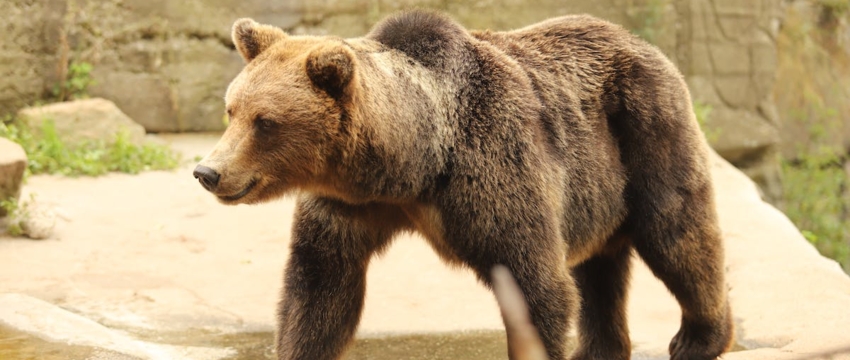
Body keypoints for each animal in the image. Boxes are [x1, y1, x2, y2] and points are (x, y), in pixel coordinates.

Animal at [192, 9, 728, 358]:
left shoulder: (497, 174)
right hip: (593, 190)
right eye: (232, 110)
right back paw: (600, 350)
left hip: (645, 131)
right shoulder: (347, 206)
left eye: (265, 122)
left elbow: (538, 288)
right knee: (598, 268)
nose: (208, 172)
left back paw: (699, 338)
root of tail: (639, 41)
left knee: (676, 232)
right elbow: (319, 288)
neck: (411, 166)